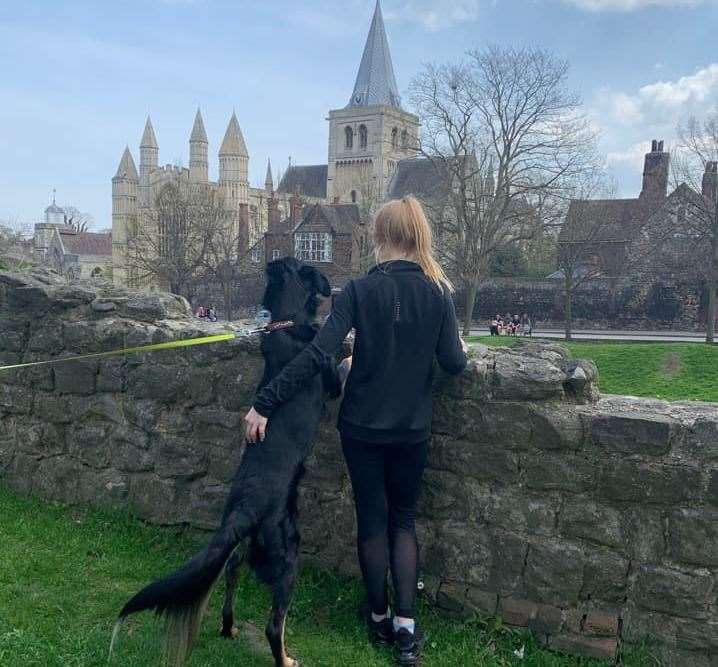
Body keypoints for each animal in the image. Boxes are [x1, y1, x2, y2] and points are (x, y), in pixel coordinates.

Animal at [112, 260, 344, 667]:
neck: (284, 323)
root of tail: (245, 509)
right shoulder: (327, 373)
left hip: (239, 552)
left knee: (229, 582)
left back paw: (228, 627)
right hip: (287, 556)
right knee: (274, 624)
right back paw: (285, 658)